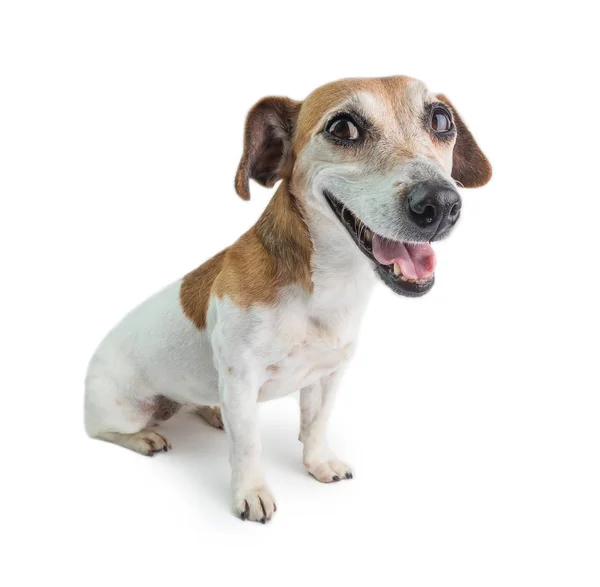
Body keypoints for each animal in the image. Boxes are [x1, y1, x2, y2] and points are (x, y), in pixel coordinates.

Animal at [84, 74, 492, 524]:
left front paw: (319, 463)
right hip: (124, 409)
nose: (440, 203)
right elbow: (248, 445)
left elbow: (315, 425)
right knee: (102, 431)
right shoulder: (241, 381)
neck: (322, 291)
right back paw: (145, 439)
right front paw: (251, 493)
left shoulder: (328, 374)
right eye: (342, 127)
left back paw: (210, 411)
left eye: (441, 120)